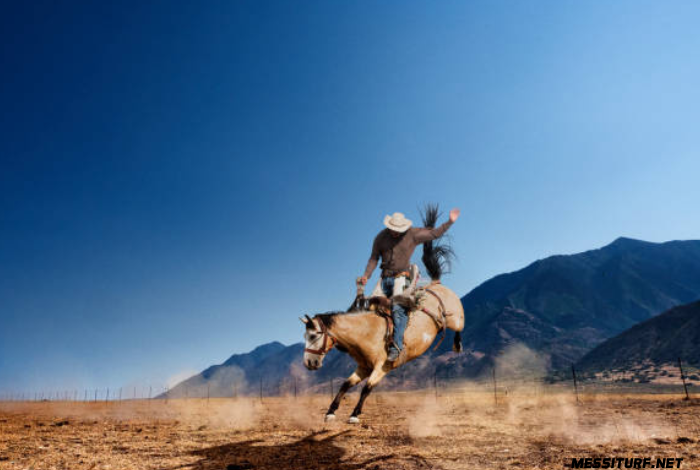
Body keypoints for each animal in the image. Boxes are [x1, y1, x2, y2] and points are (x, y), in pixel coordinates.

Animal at [296, 204, 464, 424]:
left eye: (314, 335)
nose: (309, 363)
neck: (366, 333)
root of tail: (436, 283)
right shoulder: (363, 367)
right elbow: (346, 384)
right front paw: (330, 412)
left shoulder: (381, 367)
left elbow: (367, 388)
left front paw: (354, 415)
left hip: (456, 319)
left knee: (460, 327)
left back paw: (458, 345)